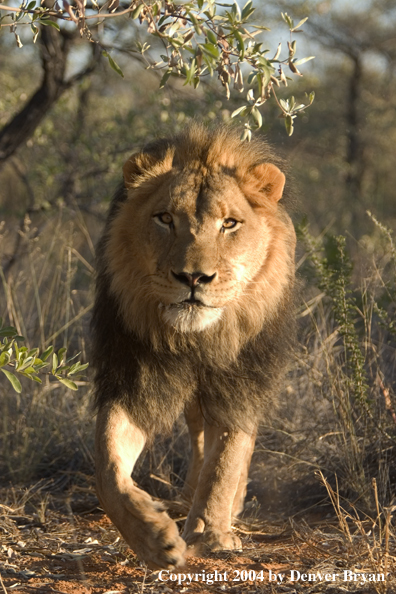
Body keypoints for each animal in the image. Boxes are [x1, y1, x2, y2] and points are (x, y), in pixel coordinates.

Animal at [92, 121, 296, 568]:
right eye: (165, 218)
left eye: (230, 224)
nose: (193, 278)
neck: (197, 339)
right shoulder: (135, 381)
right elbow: (108, 466)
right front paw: (152, 537)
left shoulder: (240, 382)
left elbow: (227, 458)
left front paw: (210, 532)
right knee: (198, 433)